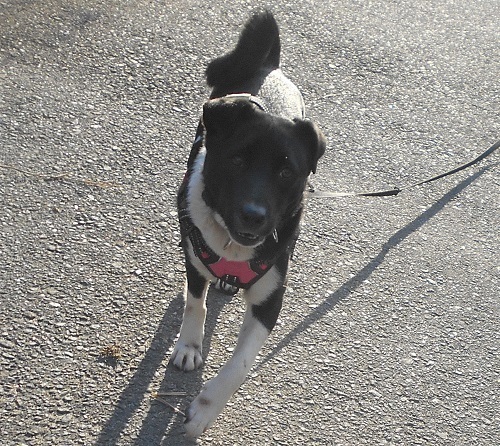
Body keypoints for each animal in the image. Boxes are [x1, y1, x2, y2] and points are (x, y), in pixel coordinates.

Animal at [170, 10, 326, 438]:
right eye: (237, 160)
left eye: (286, 172)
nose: (253, 215)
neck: (232, 245)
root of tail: (267, 66)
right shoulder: (194, 253)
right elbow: (195, 302)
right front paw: (188, 346)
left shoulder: (270, 298)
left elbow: (240, 365)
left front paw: (204, 410)